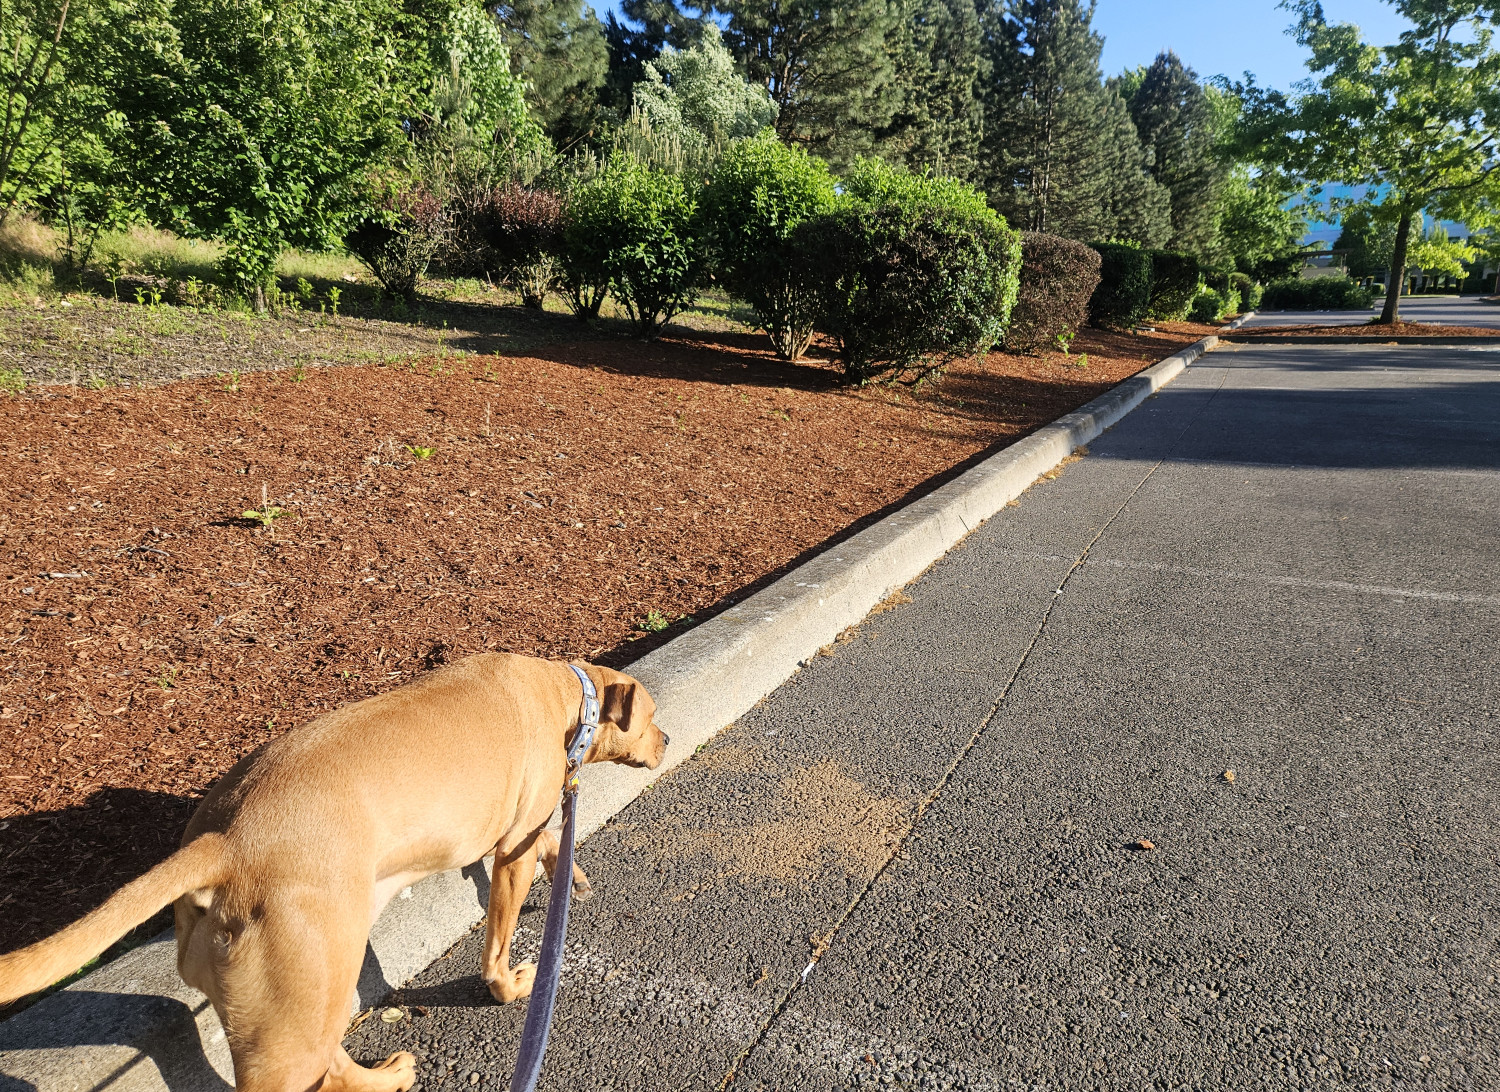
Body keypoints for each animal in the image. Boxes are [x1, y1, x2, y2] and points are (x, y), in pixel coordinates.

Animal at [0, 657, 669, 1092]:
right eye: (653, 716)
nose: (666, 739)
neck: (569, 698)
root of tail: (225, 843)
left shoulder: (515, 836)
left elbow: (551, 841)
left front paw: (569, 867)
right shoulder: (512, 849)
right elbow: (499, 945)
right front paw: (510, 985)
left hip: (305, 1002)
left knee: (332, 1068)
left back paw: (387, 1076)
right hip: (299, 1015)